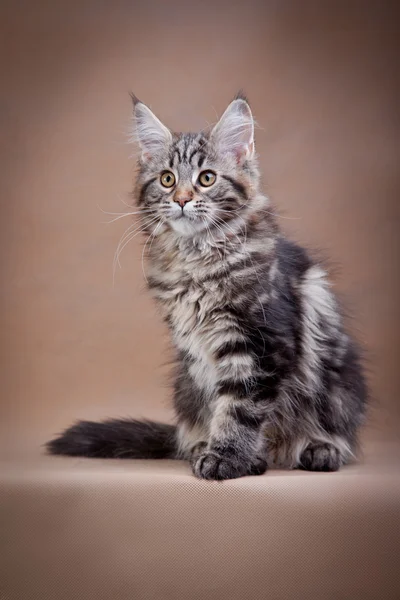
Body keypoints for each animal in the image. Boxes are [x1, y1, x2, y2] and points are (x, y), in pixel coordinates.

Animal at [45, 92, 368, 478]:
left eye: (207, 178)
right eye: (167, 179)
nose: (182, 199)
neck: (197, 260)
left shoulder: (259, 344)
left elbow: (240, 408)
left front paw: (227, 456)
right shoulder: (199, 351)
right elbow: (221, 406)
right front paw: (235, 456)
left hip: (339, 388)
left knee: (332, 431)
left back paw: (318, 448)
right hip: (184, 383)